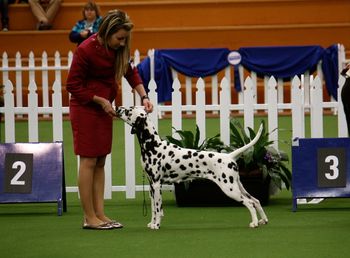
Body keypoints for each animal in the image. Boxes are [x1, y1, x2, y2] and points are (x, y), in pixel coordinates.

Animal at [115, 106, 268, 229]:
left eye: (129, 111)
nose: (117, 107)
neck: (152, 145)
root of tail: (229, 157)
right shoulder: (152, 186)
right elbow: (153, 209)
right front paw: (152, 223)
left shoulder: (157, 185)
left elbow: (158, 209)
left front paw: (156, 225)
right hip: (237, 186)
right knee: (256, 200)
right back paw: (263, 220)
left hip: (230, 189)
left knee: (250, 203)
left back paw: (254, 223)